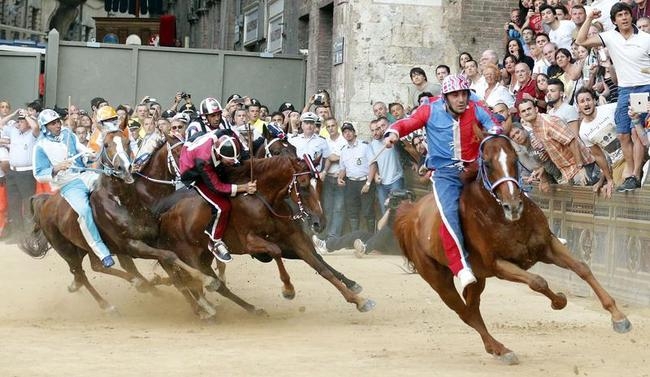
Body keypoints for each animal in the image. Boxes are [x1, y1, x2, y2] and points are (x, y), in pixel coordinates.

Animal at [153, 153, 374, 314]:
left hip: (204, 257)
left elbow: (321, 267)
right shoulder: (250, 241)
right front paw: (288, 289)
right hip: (189, 256)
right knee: (198, 282)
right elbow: (275, 251)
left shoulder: (295, 239)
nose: (319, 223)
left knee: (209, 284)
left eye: (319, 185)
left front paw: (358, 300)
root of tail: (164, 216)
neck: (264, 200)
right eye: (302, 185)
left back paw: (248, 309)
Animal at [392, 134, 632, 362]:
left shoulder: (547, 246)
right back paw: (501, 349)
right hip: (439, 280)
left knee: (472, 307)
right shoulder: (499, 265)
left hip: (479, 278)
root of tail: (411, 215)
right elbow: (538, 281)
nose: (513, 205)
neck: (504, 219)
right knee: (464, 312)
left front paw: (618, 317)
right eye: (487, 164)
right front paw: (559, 301)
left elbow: (582, 268)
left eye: (515, 159)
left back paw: (495, 349)